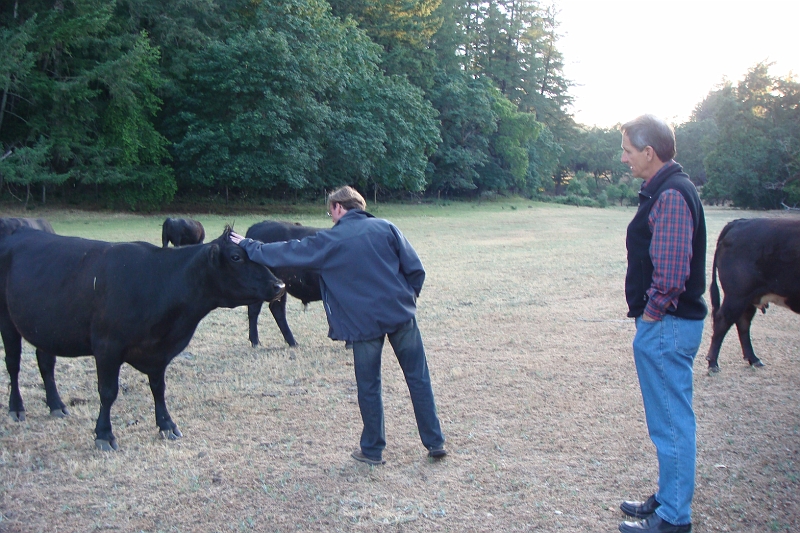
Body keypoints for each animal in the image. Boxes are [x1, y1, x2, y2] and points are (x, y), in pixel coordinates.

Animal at [0, 224, 284, 448]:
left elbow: (158, 388)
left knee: (45, 363)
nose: (279, 285)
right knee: (13, 365)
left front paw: (167, 425)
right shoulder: (106, 346)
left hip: (45, 326)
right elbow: (108, 392)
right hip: (7, 321)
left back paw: (56, 405)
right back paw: (17, 408)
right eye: (236, 257)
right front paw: (104, 434)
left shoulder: (158, 352)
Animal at [708, 218, 800, 372]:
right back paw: (713, 364)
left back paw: (754, 359)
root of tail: (740, 222)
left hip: (749, 298)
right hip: (737, 295)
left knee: (743, 322)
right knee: (724, 320)